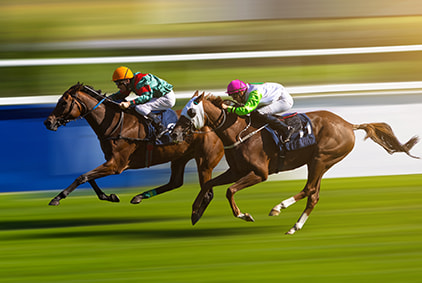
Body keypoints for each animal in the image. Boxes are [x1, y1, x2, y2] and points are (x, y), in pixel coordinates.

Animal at [43, 83, 224, 207]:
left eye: (63, 103)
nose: (48, 122)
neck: (116, 123)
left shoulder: (116, 164)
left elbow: (82, 177)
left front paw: (57, 198)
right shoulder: (110, 161)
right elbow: (88, 177)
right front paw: (110, 196)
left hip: (205, 162)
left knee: (206, 191)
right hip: (180, 157)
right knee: (175, 182)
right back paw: (139, 197)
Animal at [171, 92, 418, 235]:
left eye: (190, 111)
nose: (173, 134)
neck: (239, 131)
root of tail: (348, 124)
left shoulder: (260, 173)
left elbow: (230, 191)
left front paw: (244, 215)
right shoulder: (236, 170)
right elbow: (208, 184)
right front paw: (195, 212)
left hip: (320, 158)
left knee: (309, 189)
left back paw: (278, 207)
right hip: (320, 162)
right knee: (314, 195)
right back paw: (295, 226)